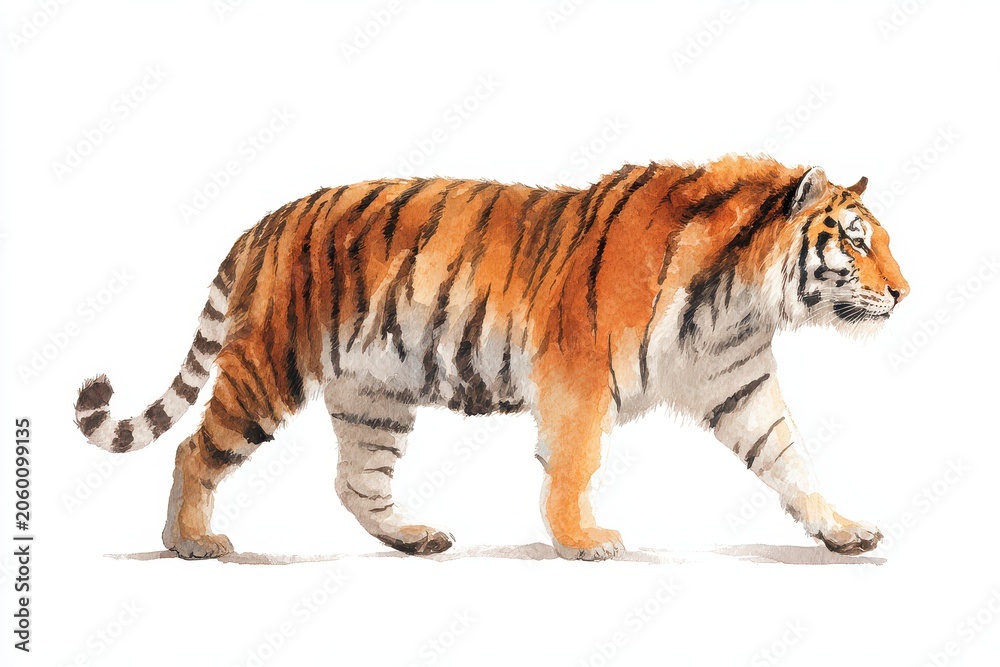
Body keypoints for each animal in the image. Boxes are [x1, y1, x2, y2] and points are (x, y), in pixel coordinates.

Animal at [74, 155, 908, 561]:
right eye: (857, 241)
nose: (904, 293)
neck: (738, 296)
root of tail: (267, 220)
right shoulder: (578, 375)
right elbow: (573, 463)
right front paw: (583, 542)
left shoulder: (739, 382)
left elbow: (790, 460)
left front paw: (844, 531)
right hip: (268, 367)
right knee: (195, 449)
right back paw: (190, 541)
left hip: (373, 393)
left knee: (357, 480)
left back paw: (413, 539)